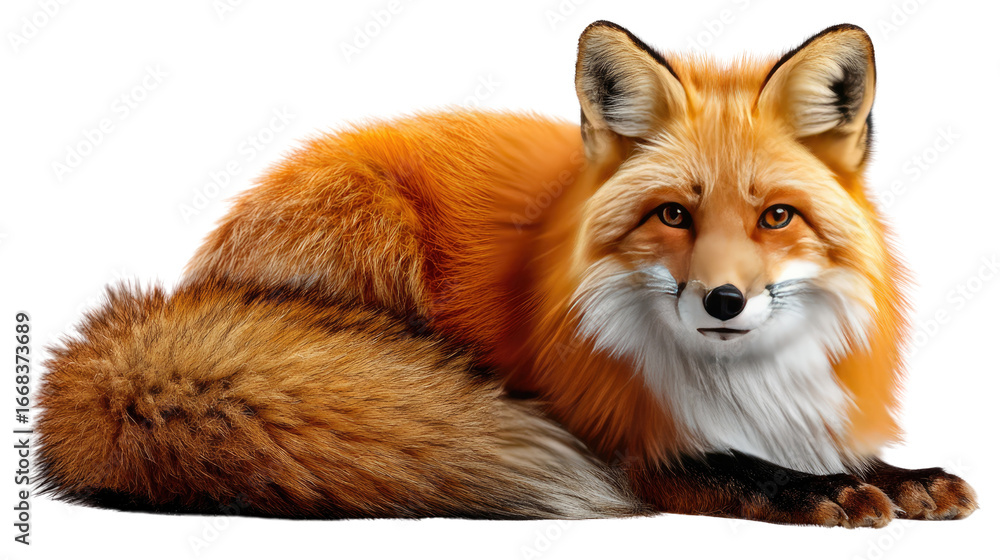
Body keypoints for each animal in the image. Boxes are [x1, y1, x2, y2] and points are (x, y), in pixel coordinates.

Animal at [36, 21, 977, 527]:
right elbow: (738, 467)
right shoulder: (632, 448)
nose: (723, 299)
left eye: (775, 217)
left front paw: (904, 478)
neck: (732, 380)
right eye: (673, 215)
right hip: (376, 234)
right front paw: (828, 491)